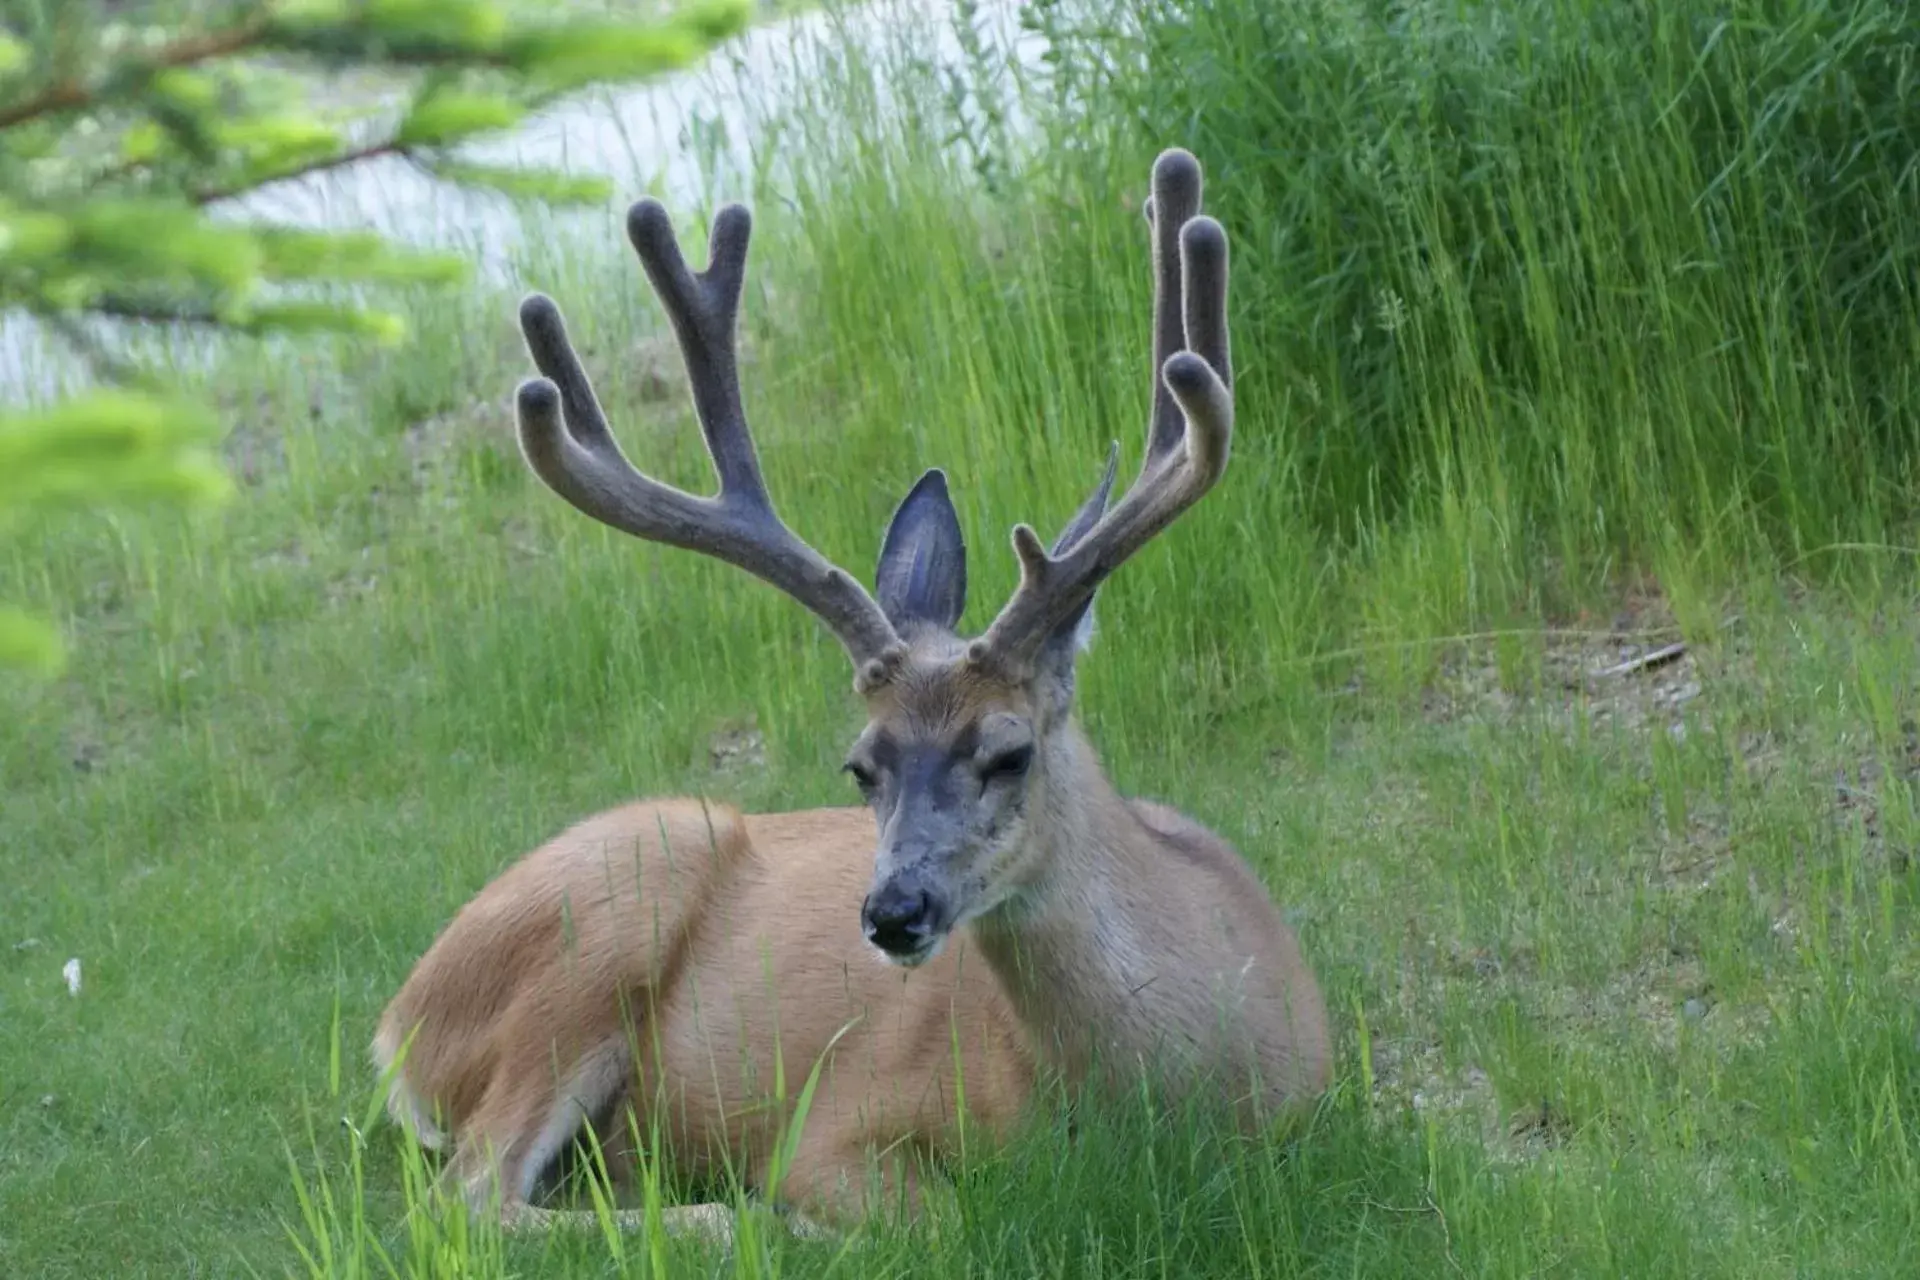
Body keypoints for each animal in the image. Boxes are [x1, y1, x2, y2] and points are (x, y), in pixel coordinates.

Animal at [374, 147, 1336, 1243]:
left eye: (1010, 750)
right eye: (860, 764)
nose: (891, 912)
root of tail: (396, 1027)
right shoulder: (838, 1119)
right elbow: (940, 1215)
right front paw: (782, 1212)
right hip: (607, 915)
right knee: (468, 1197)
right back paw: (723, 1215)